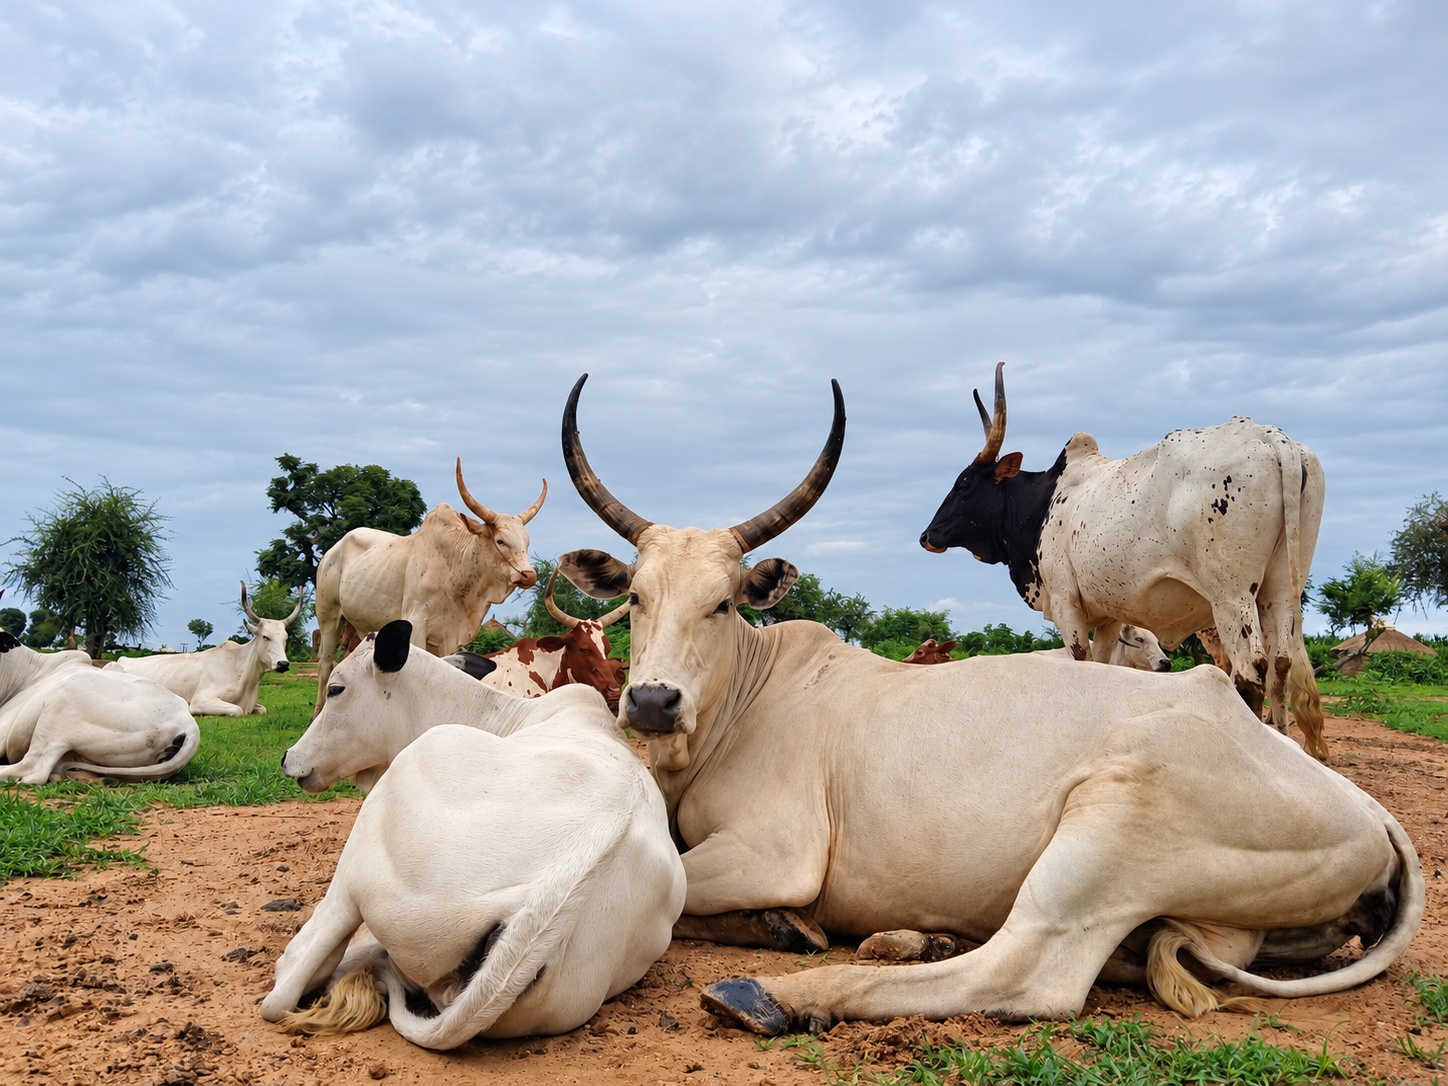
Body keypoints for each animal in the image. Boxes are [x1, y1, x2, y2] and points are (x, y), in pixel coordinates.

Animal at [107, 583, 302, 716]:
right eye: (265, 636)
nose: (283, 664)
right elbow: (237, 710)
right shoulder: (202, 700)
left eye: (285, 638)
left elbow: (262, 709)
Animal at [312, 460, 545, 715]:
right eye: (500, 541)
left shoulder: (449, 639)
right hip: (329, 617)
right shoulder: (416, 625)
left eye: (526, 543)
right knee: (325, 664)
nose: (529, 575)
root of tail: (332, 550)